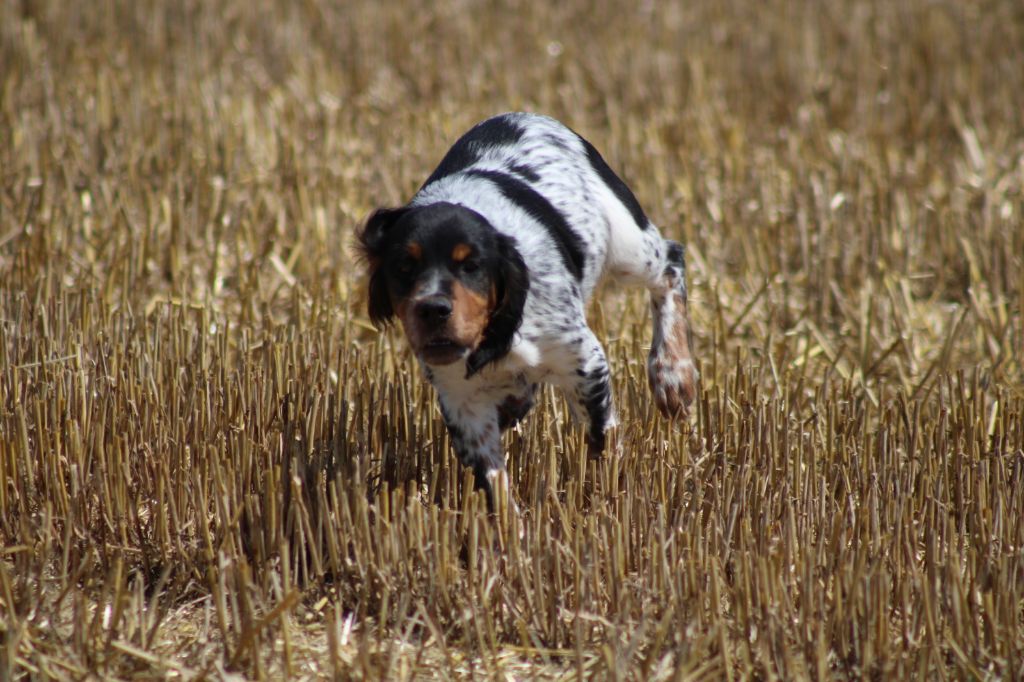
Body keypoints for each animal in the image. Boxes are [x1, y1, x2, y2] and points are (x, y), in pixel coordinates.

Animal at [358, 111, 696, 507]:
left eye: (471, 265)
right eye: (403, 267)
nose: (433, 309)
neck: (495, 334)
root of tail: (520, 115)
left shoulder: (585, 360)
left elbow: (601, 439)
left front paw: (609, 494)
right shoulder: (461, 401)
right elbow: (492, 482)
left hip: (629, 246)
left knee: (671, 263)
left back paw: (672, 375)